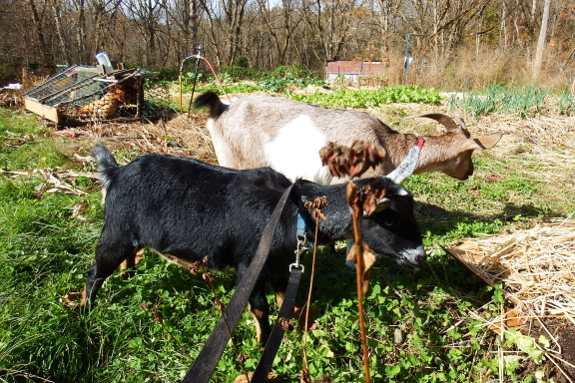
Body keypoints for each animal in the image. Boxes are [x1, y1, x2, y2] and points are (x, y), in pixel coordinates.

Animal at [83, 144, 428, 344]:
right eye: (388, 218)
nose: (420, 257)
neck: (295, 213)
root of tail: (116, 172)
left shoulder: (279, 265)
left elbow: (284, 298)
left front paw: (288, 330)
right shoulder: (250, 264)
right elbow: (260, 307)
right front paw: (262, 344)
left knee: (128, 257)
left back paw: (129, 277)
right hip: (115, 231)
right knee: (95, 271)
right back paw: (86, 311)